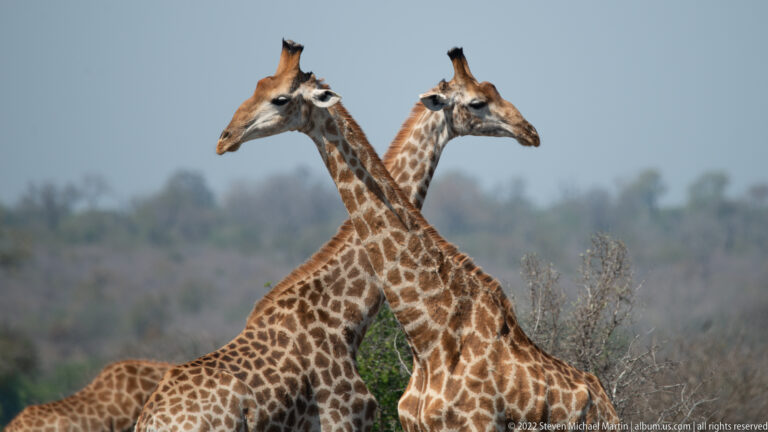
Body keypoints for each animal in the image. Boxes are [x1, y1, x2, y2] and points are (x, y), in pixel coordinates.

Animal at [135, 39, 537, 432]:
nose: (529, 131)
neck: (344, 316)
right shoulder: (342, 416)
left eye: (275, 95)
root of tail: (148, 421)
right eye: (478, 102)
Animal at [215, 41, 620, 430]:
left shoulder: (470, 422)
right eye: (478, 102)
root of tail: (606, 403)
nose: (224, 139)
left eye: (279, 97)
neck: (430, 336)